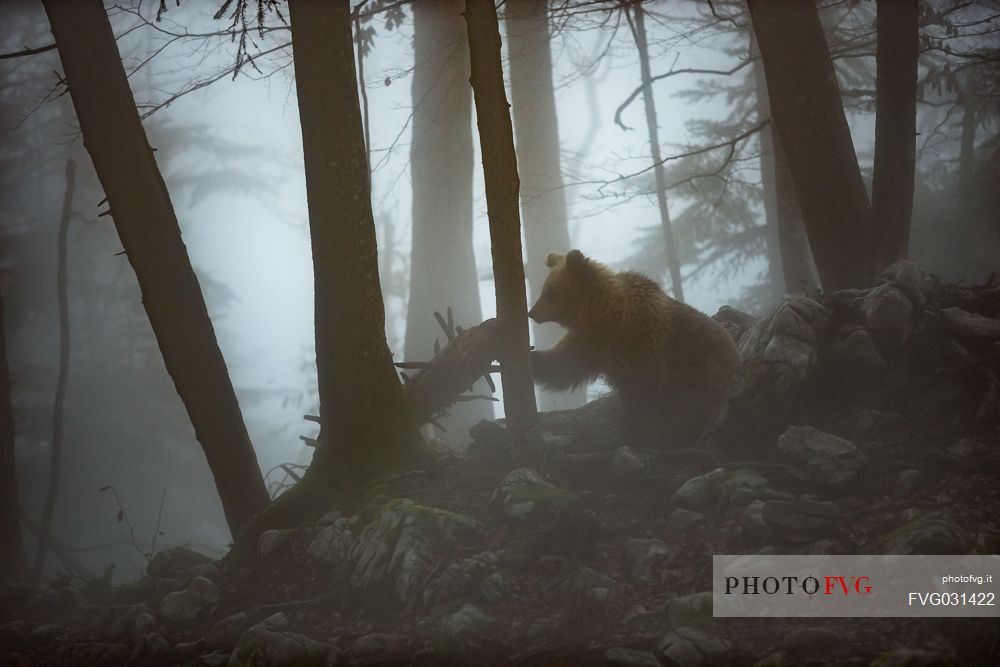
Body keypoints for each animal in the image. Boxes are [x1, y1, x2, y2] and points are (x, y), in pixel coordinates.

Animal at [528, 249, 740, 448]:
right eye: (544, 289)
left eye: (550, 291)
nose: (532, 313)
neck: (607, 318)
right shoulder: (590, 342)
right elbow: (564, 365)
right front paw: (531, 357)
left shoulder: (643, 344)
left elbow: (639, 393)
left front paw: (626, 435)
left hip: (700, 366)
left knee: (690, 404)